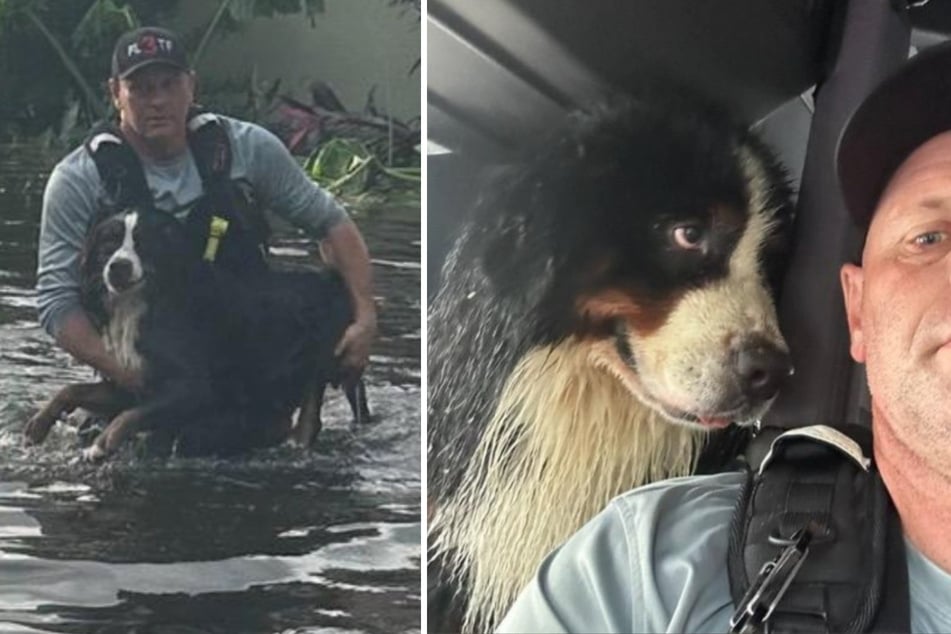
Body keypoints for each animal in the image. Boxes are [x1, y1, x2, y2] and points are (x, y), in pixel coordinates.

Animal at [26, 209, 368, 460]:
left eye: (143, 243)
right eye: (108, 243)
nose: (118, 267)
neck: (142, 303)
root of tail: (333, 278)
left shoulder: (194, 387)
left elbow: (132, 415)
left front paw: (102, 443)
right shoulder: (131, 380)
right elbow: (71, 390)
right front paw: (39, 424)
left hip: (318, 365)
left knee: (308, 420)